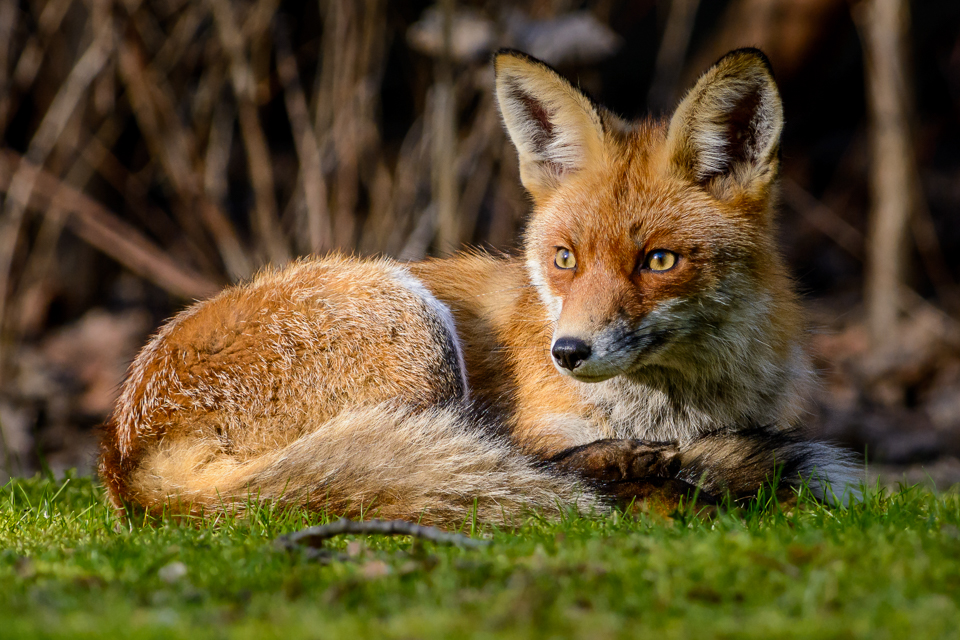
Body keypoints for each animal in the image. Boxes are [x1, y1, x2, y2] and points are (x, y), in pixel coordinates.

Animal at [99, 47, 864, 528]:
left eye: (659, 261)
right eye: (564, 259)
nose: (569, 353)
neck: (677, 412)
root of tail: (126, 461)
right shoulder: (536, 427)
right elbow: (555, 461)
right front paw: (667, 484)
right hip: (415, 332)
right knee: (503, 472)